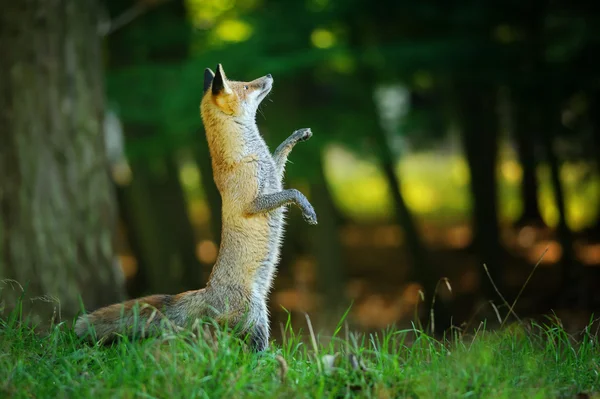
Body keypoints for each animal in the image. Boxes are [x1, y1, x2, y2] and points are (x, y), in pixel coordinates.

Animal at [74, 64, 318, 352]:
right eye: (246, 86)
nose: (268, 76)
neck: (247, 154)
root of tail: (206, 292)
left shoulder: (273, 179)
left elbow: (280, 154)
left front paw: (297, 136)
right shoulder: (253, 202)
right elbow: (293, 192)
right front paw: (307, 208)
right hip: (258, 316)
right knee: (251, 352)